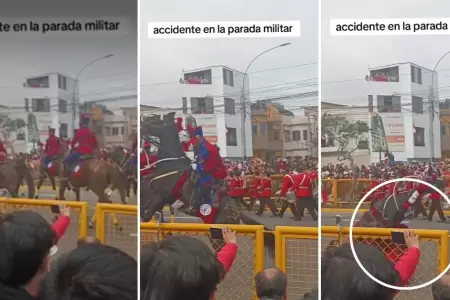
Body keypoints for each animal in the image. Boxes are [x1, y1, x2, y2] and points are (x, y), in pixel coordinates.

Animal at [140, 112, 274, 255]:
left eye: (155, 121)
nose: (142, 126)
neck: (171, 164)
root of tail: (237, 211)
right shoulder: (156, 196)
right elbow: (145, 207)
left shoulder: (163, 197)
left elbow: (146, 215)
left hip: (218, 233)